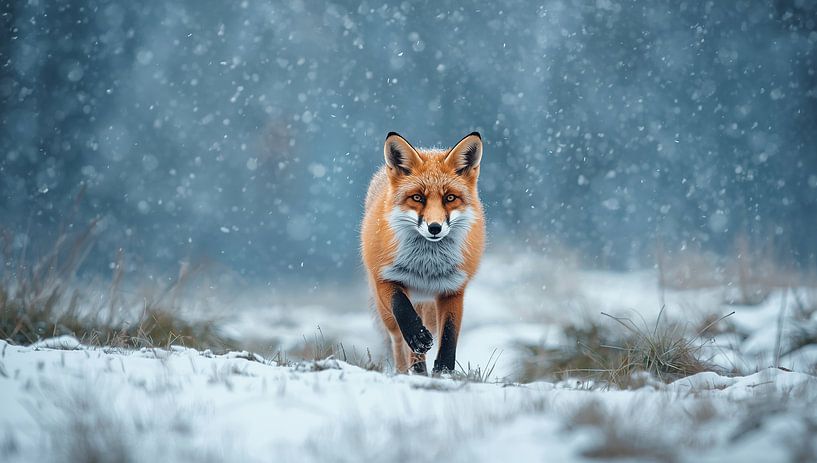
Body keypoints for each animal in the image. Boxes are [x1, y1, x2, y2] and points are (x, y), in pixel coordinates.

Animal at [361, 132, 486, 374]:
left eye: (450, 198)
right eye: (417, 197)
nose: (434, 228)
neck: (426, 266)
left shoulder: (453, 289)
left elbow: (450, 334)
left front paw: (444, 369)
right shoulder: (385, 278)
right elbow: (402, 308)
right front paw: (416, 336)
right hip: (385, 311)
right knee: (397, 341)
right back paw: (405, 369)